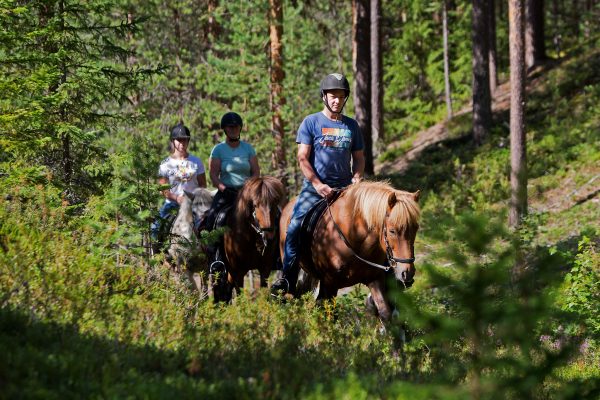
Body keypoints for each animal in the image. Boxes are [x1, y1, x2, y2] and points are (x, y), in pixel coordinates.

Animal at [278, 181, 420, 322]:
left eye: (416, 229)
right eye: (392, 231)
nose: (407, 273)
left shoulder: (375, 279)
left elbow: (385, 313)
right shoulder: (329, 283)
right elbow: (330, 317)